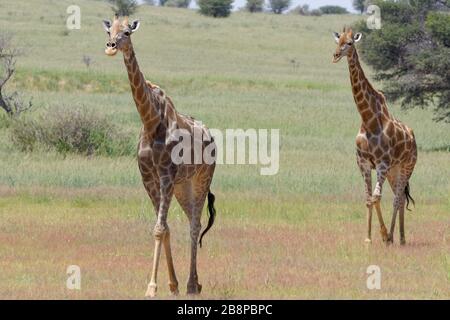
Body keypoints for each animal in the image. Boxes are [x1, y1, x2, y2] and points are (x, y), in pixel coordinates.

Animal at [330, 27, 418, 245]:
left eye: (350, 43)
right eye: (338, 41)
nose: (335, 55)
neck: (368, 120)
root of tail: (412, 136)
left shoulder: (382, 164)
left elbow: (376, 197)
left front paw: (383, 234)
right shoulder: (363, 163)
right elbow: (368, 198)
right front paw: (368, 238)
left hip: (407, 166)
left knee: (397, 198)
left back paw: (395, 237)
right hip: (395, 170)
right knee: (399, 198)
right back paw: (399, 237)